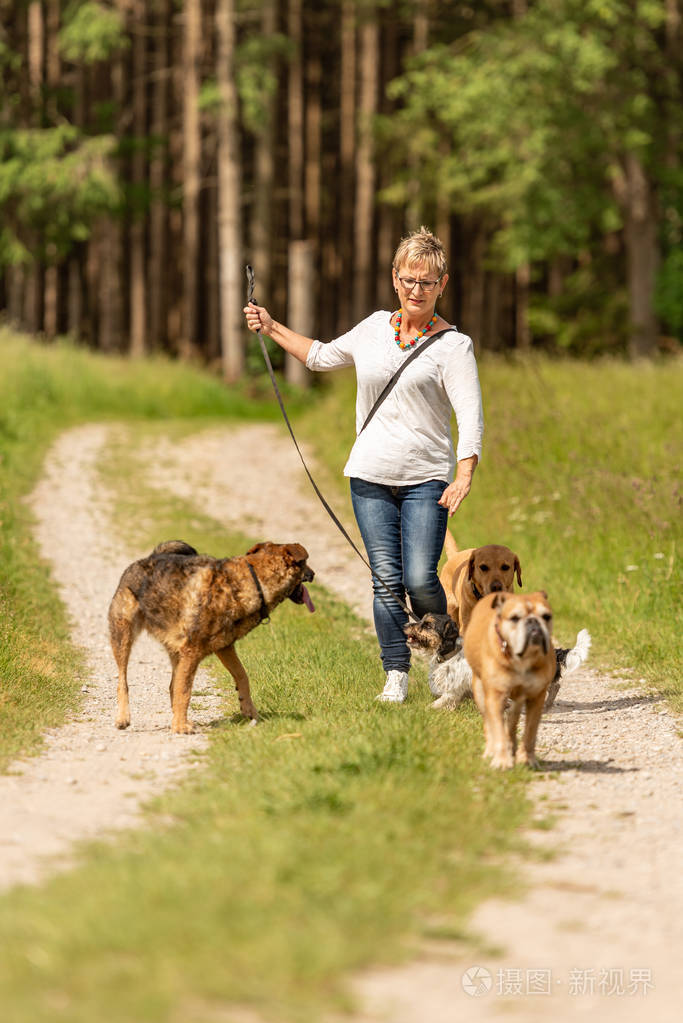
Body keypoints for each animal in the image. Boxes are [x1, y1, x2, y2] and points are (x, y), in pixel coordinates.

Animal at [109, 540, 314, 732]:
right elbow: (185, 691)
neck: (254, 581)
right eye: (305, 564)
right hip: (123, 635)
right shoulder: (192, 651)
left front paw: (249, 710)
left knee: (172, 686)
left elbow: (242, 675)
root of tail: (147, 558)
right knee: (123, 681)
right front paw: (180, 727)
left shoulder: (225, 647)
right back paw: (124, 717)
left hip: (175, 649)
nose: (313, 574)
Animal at [462, 593, 556, 769]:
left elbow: (530, 732)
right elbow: (497, 729)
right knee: (489, 723)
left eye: (546, 616)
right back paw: (491, 751)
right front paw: (502, 761)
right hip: (480, 691)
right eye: (514, 618)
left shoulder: (536, 697)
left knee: (512, 719)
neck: (523, 658)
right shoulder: (495, 696)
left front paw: (527, 759)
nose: (533, 622)